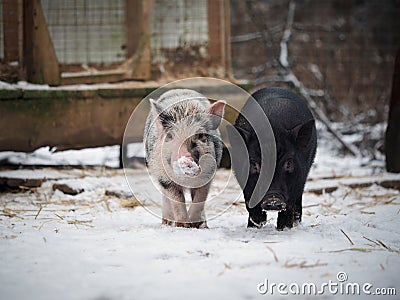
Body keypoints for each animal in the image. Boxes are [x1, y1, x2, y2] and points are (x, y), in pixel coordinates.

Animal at [144, 88, 225, 227]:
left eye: (200, 135)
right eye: (170, 136)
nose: (185, 157)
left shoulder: (208, 175)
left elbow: (199, 199)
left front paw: (197, 224)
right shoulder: (165, 179)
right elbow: (177, 201)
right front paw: (183, 225)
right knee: (165, 197)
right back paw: (166, 222)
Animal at [230, 86, 318, 230]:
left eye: (288, 163)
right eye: (254, 164)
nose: (273, 199)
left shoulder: (298, 178)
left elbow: (289, 205)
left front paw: (283, 228)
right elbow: (250, 201)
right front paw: (255, 225)